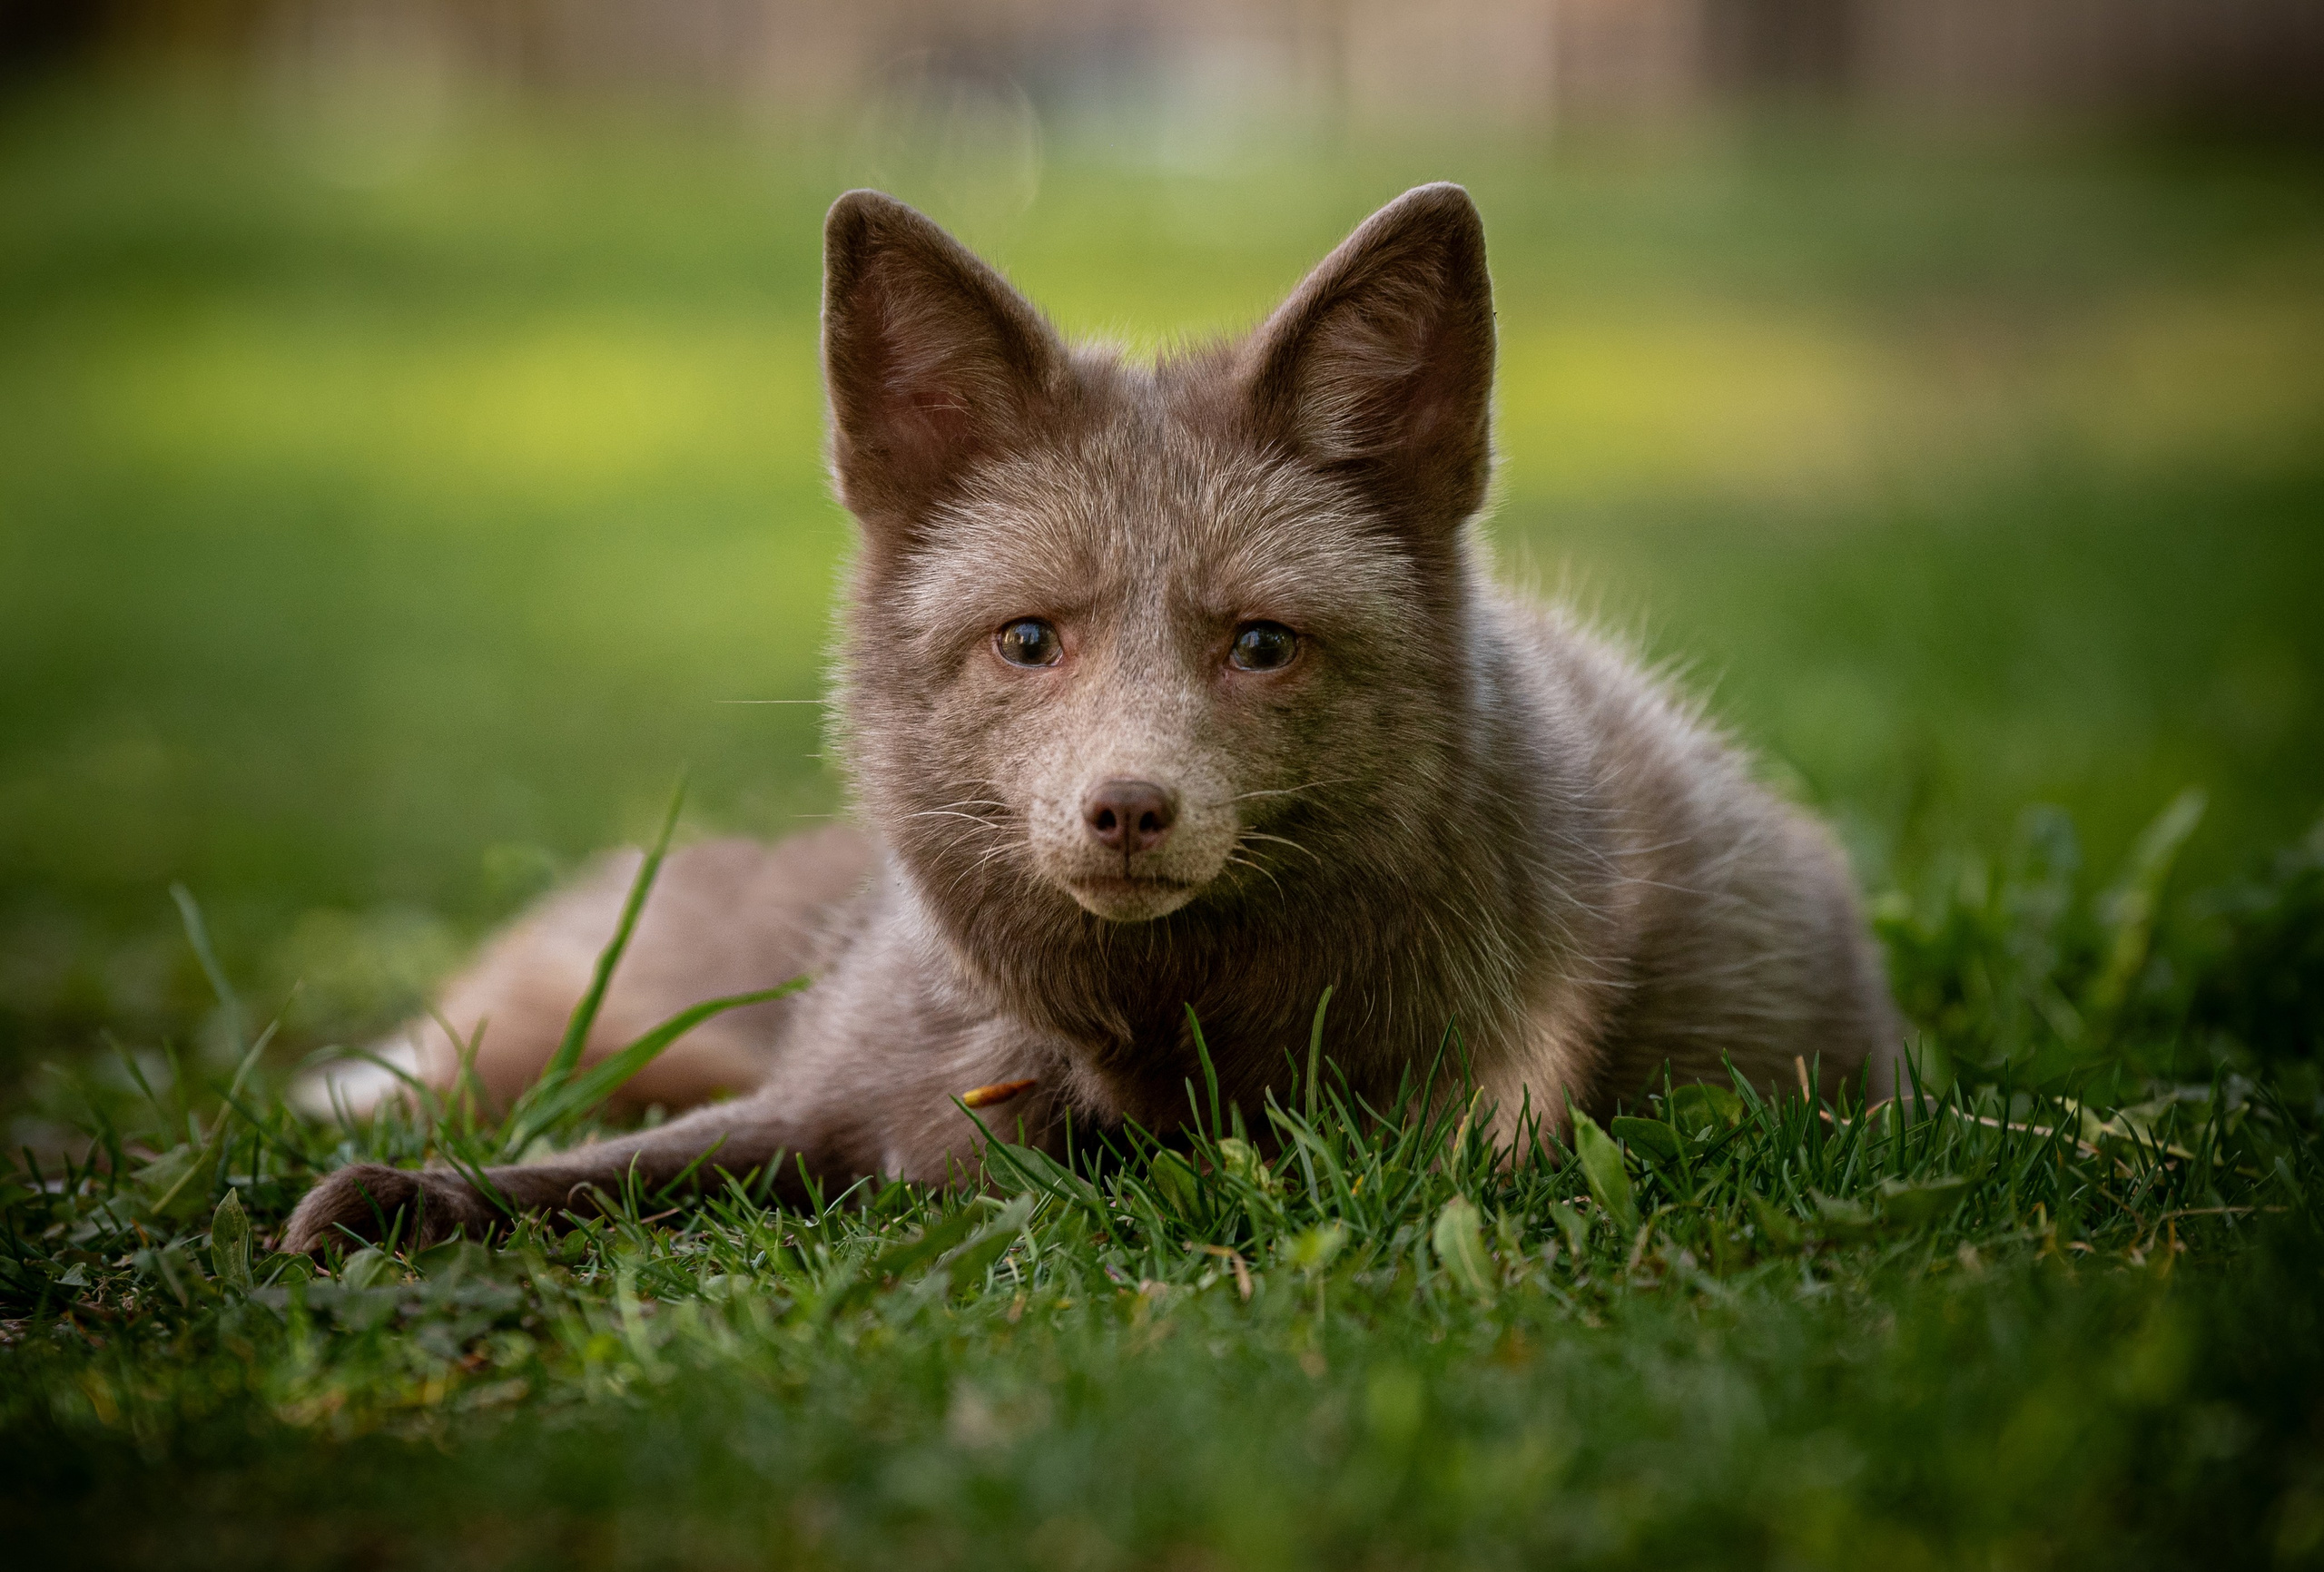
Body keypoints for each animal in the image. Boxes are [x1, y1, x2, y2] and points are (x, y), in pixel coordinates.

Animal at [285, 182, 1901, 1252]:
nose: (1127, 810)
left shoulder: (1442, 1139)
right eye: (1027, 642)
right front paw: (407, 1205)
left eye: (1261, 644)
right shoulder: (821, 1106)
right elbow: (592, 1170)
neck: (1138, 1028)